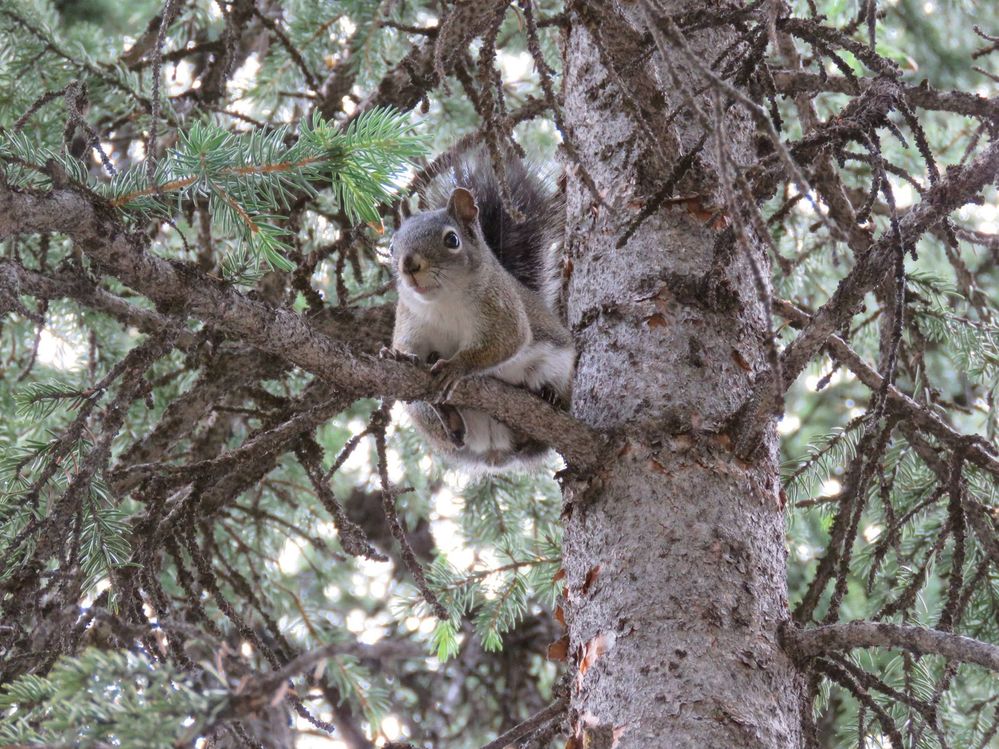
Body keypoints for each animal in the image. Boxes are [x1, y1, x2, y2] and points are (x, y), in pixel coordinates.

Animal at [382, 148, 574, 470]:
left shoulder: (501, 310)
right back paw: (450, 418)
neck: (442, 302)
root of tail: (493, 449)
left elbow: (506, 341)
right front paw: (398, 355)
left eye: (452, 239)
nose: (408, 265)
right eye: (392, 246)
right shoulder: (410, 320)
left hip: (562, 372)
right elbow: (407, 345)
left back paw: (547, 400)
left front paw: (457, 365)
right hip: (422, 414)